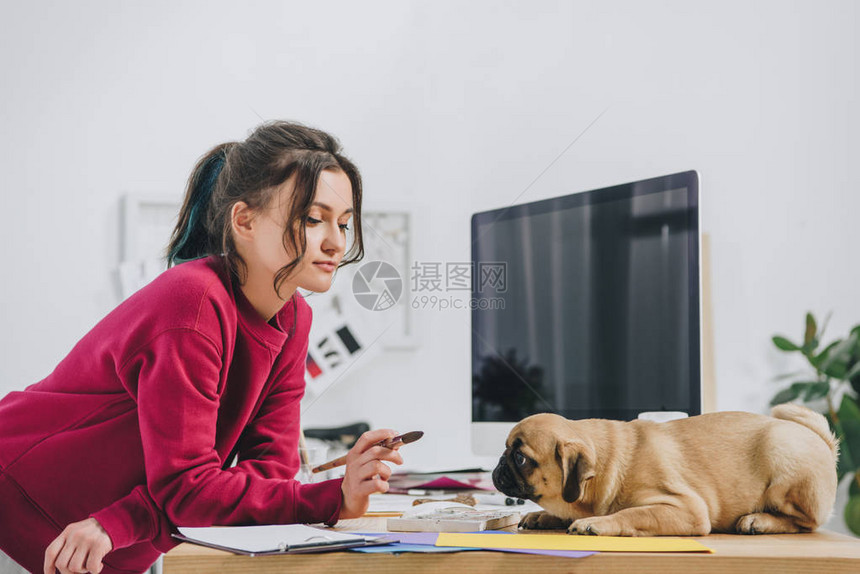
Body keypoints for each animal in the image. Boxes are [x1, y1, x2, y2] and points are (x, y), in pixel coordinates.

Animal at [494, 408, 836, 536]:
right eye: (506, 449)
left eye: (520, 458)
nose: (499, 465)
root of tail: (823, 442)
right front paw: (543, 516)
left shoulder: (686, 509)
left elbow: (632, 513)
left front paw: (597, 523)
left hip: (783, 459)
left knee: (805, 523)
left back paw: (759, 520)